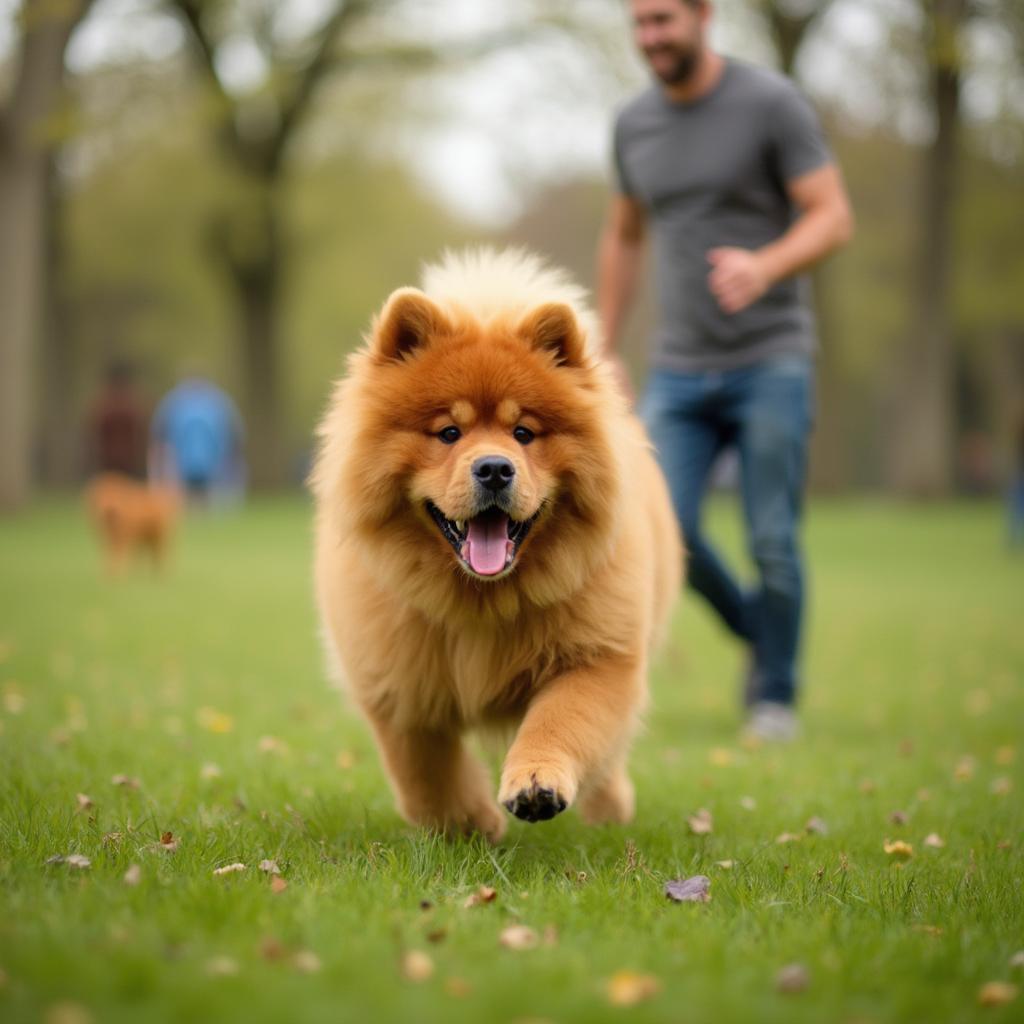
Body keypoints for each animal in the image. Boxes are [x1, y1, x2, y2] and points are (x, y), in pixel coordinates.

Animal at [311, 247, 679, 839]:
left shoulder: (598, 658)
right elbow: (424, 771)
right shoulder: (398, 685)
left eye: (523, 434)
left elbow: (561, 721)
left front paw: (535, 783)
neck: (480, 601)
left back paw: (610, 809)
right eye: (448, 433)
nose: (494, 468)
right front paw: (466, 826)